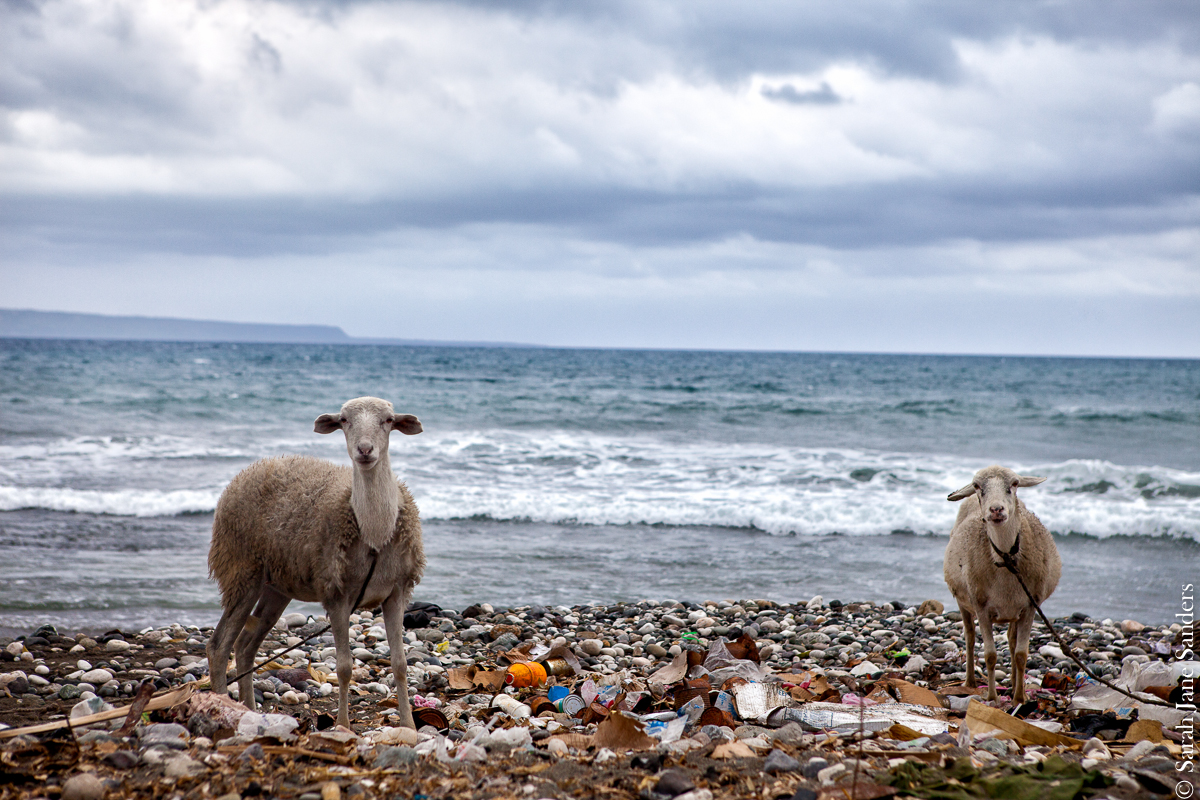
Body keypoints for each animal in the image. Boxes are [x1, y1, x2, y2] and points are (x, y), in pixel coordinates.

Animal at [945, 465, 1060, 705]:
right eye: (977, 485)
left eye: (1014, 484)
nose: (996, 510)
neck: (1006, 560)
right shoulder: (981, 608)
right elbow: (990, 655)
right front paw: (992, 697)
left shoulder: (1030, 606)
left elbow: (1021, 654)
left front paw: (1019, 698)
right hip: (963, 601)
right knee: (970, 637)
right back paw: (970, 681)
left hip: (1014, 612)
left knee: (1011, 640)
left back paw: (1016, 685)